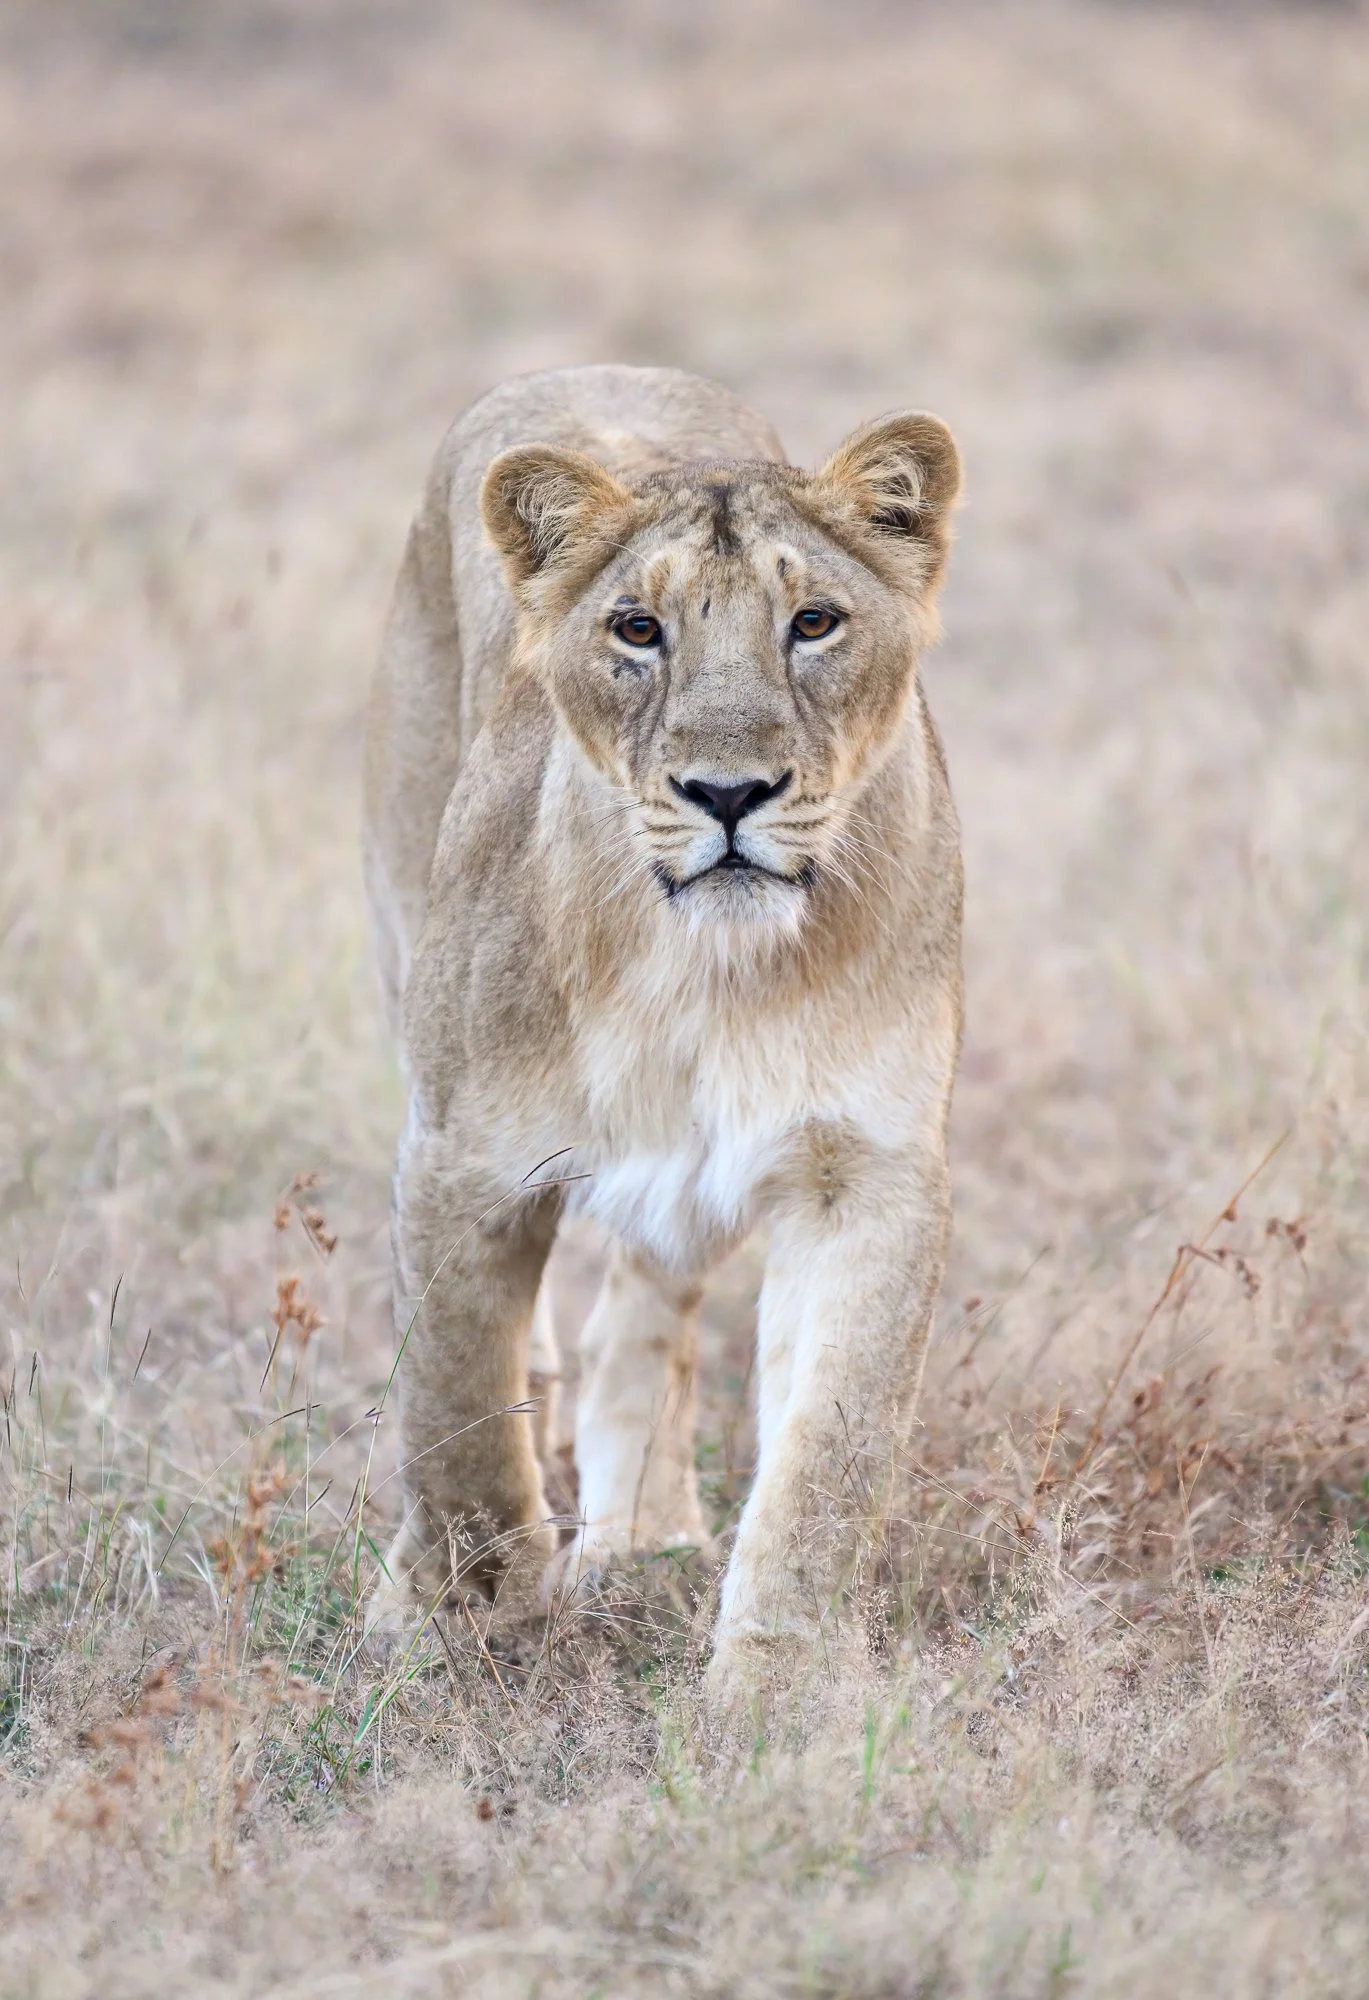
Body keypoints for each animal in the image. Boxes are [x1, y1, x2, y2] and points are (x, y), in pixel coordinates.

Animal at [362, 364, 963, 1715]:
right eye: (637, 630)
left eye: (813, 623)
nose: (728, 794)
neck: (705, 973)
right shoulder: (458, 1155)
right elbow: (456, 1406)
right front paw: (459, 1620)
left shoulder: (868, 1172)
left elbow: (828, 1454)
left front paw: (781, 1692)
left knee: (646, 1309)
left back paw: (642, 1526)